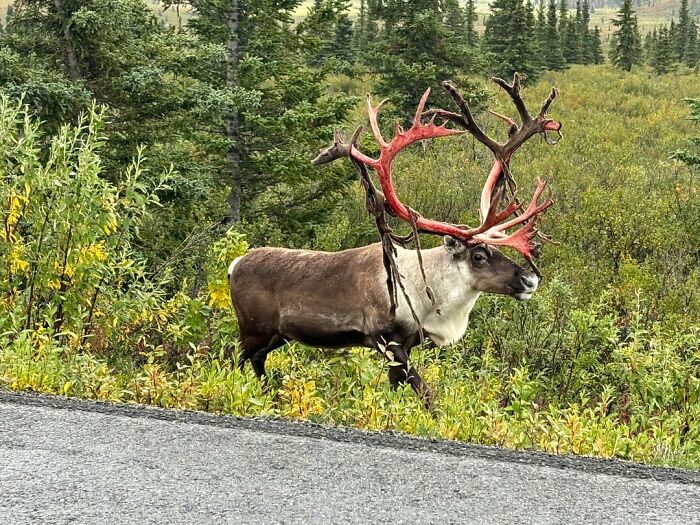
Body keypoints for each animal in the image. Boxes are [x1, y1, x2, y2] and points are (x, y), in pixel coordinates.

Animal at [229, 74, 562, 408]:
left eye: (495, 248)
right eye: (478, 256)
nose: (530, 279)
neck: (429, 296)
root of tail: (234, 264)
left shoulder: (407, 343)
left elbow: (399, 388)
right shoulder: (387, 339)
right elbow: (425, 393)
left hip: (277, 335)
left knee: (255, 362)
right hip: (254, 328)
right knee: (234, 358)